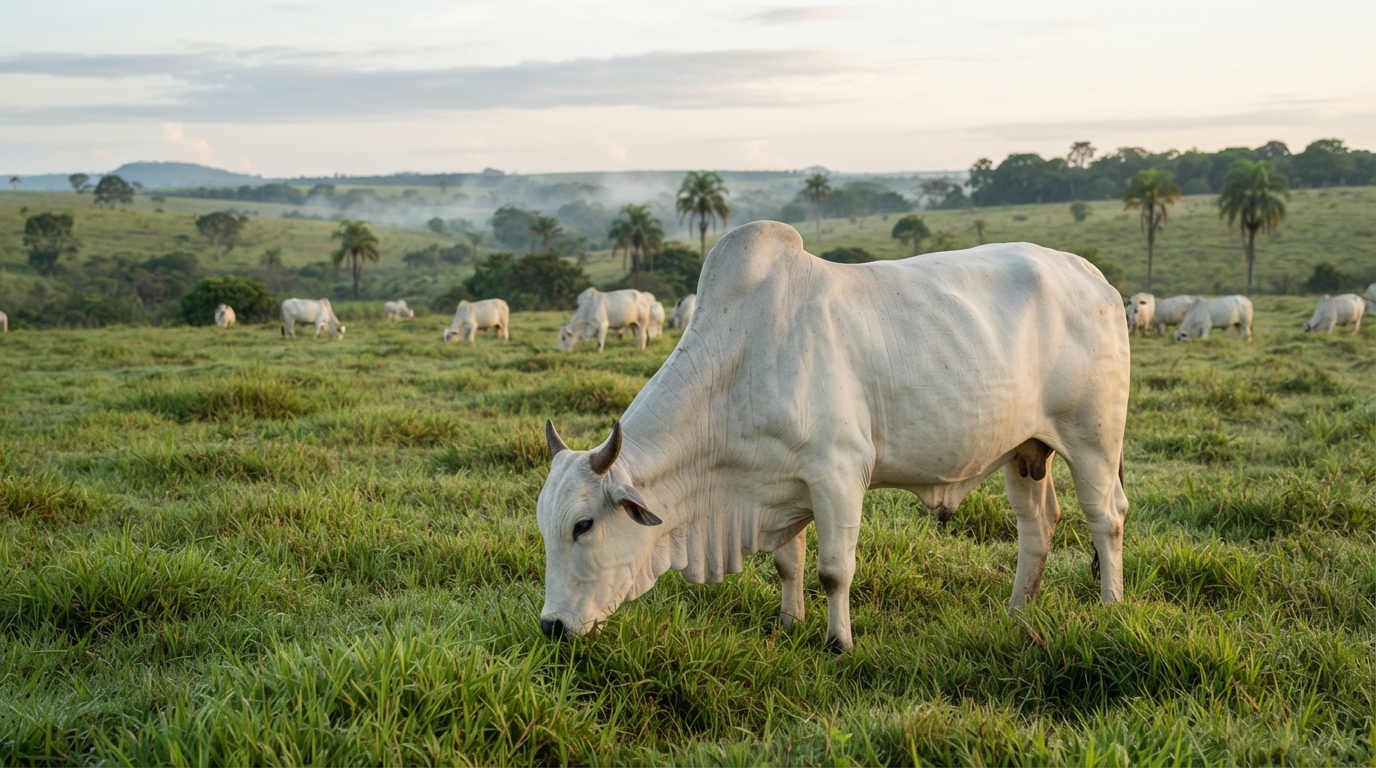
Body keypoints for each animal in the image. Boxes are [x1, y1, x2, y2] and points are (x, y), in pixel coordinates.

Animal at [537, 221, 1131, 652]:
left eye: (583, 525)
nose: (551, 627)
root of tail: (1091, 274)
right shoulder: (779, 484)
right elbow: (788, 563)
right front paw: (788, 622)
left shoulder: (839, 475)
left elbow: (833, 571)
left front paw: (838, 642)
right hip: (1025, 450)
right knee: (1038, 524)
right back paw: (1016, 610)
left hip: (1093, 441)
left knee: (1107, 518)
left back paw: (1110, 605)